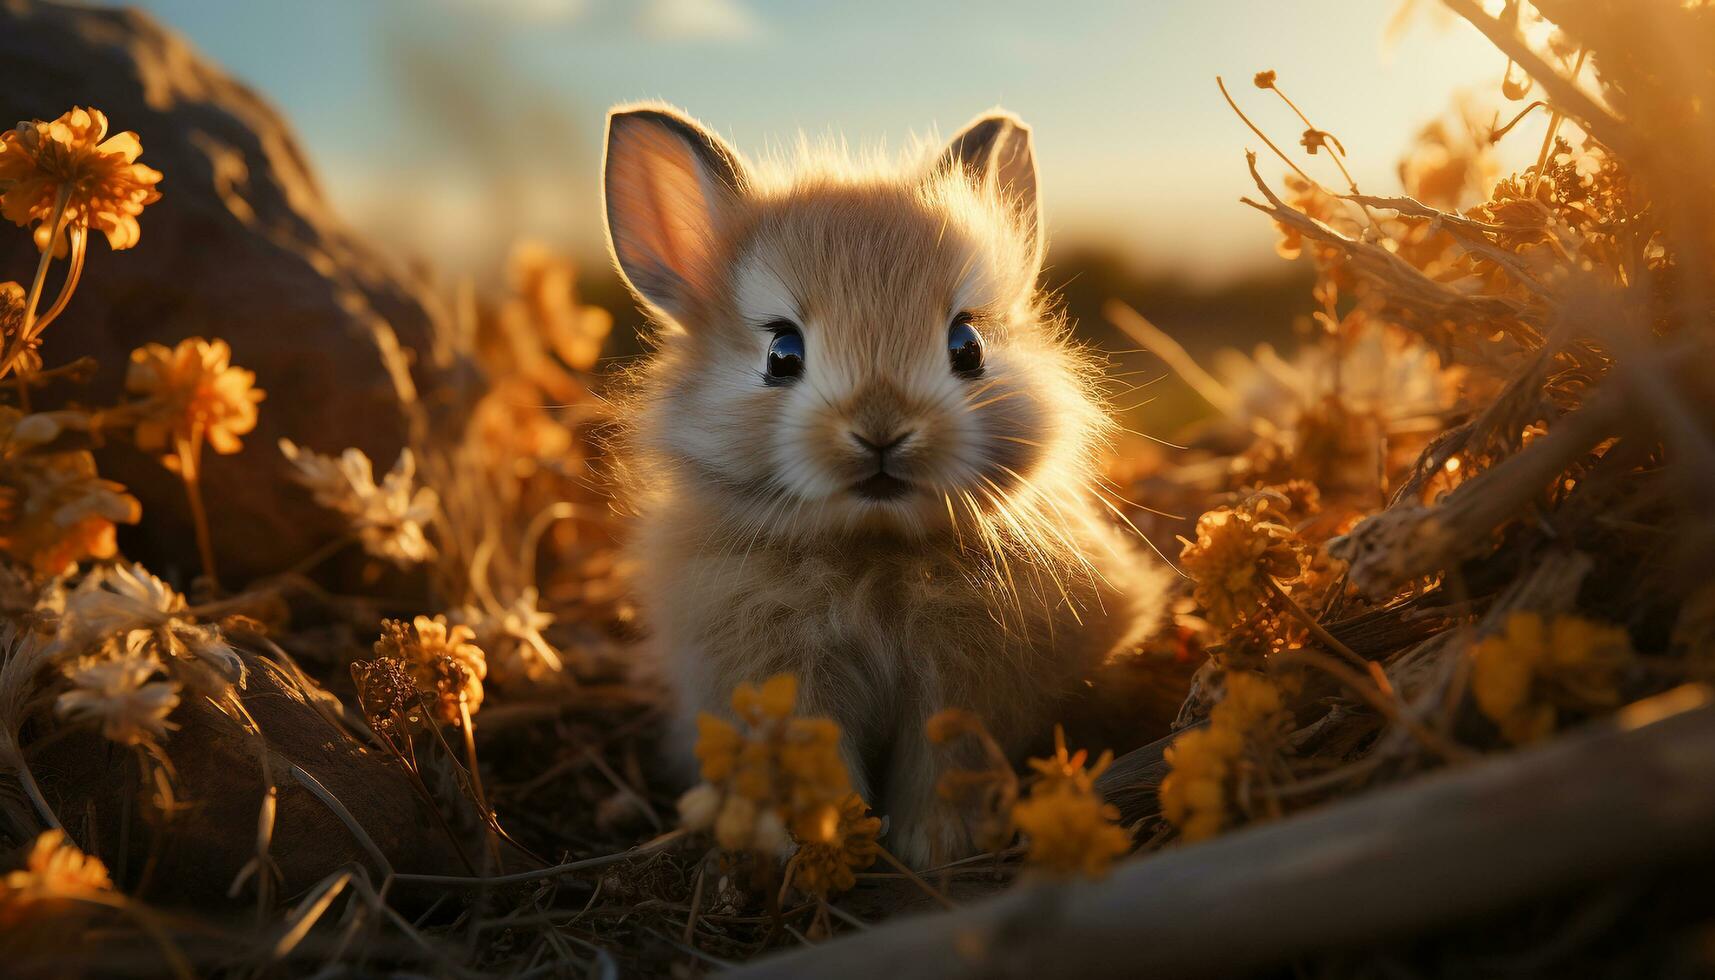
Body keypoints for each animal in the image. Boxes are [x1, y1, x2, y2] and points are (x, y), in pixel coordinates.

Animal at [603, 99, 1166, 865]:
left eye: (967, 346)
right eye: (782, 353)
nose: (881, 429)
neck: (871, 547)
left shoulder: (962, 685)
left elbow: (948, 756)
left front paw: (937, 844)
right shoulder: (784, 685)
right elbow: (815, 757)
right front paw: (822, 841)